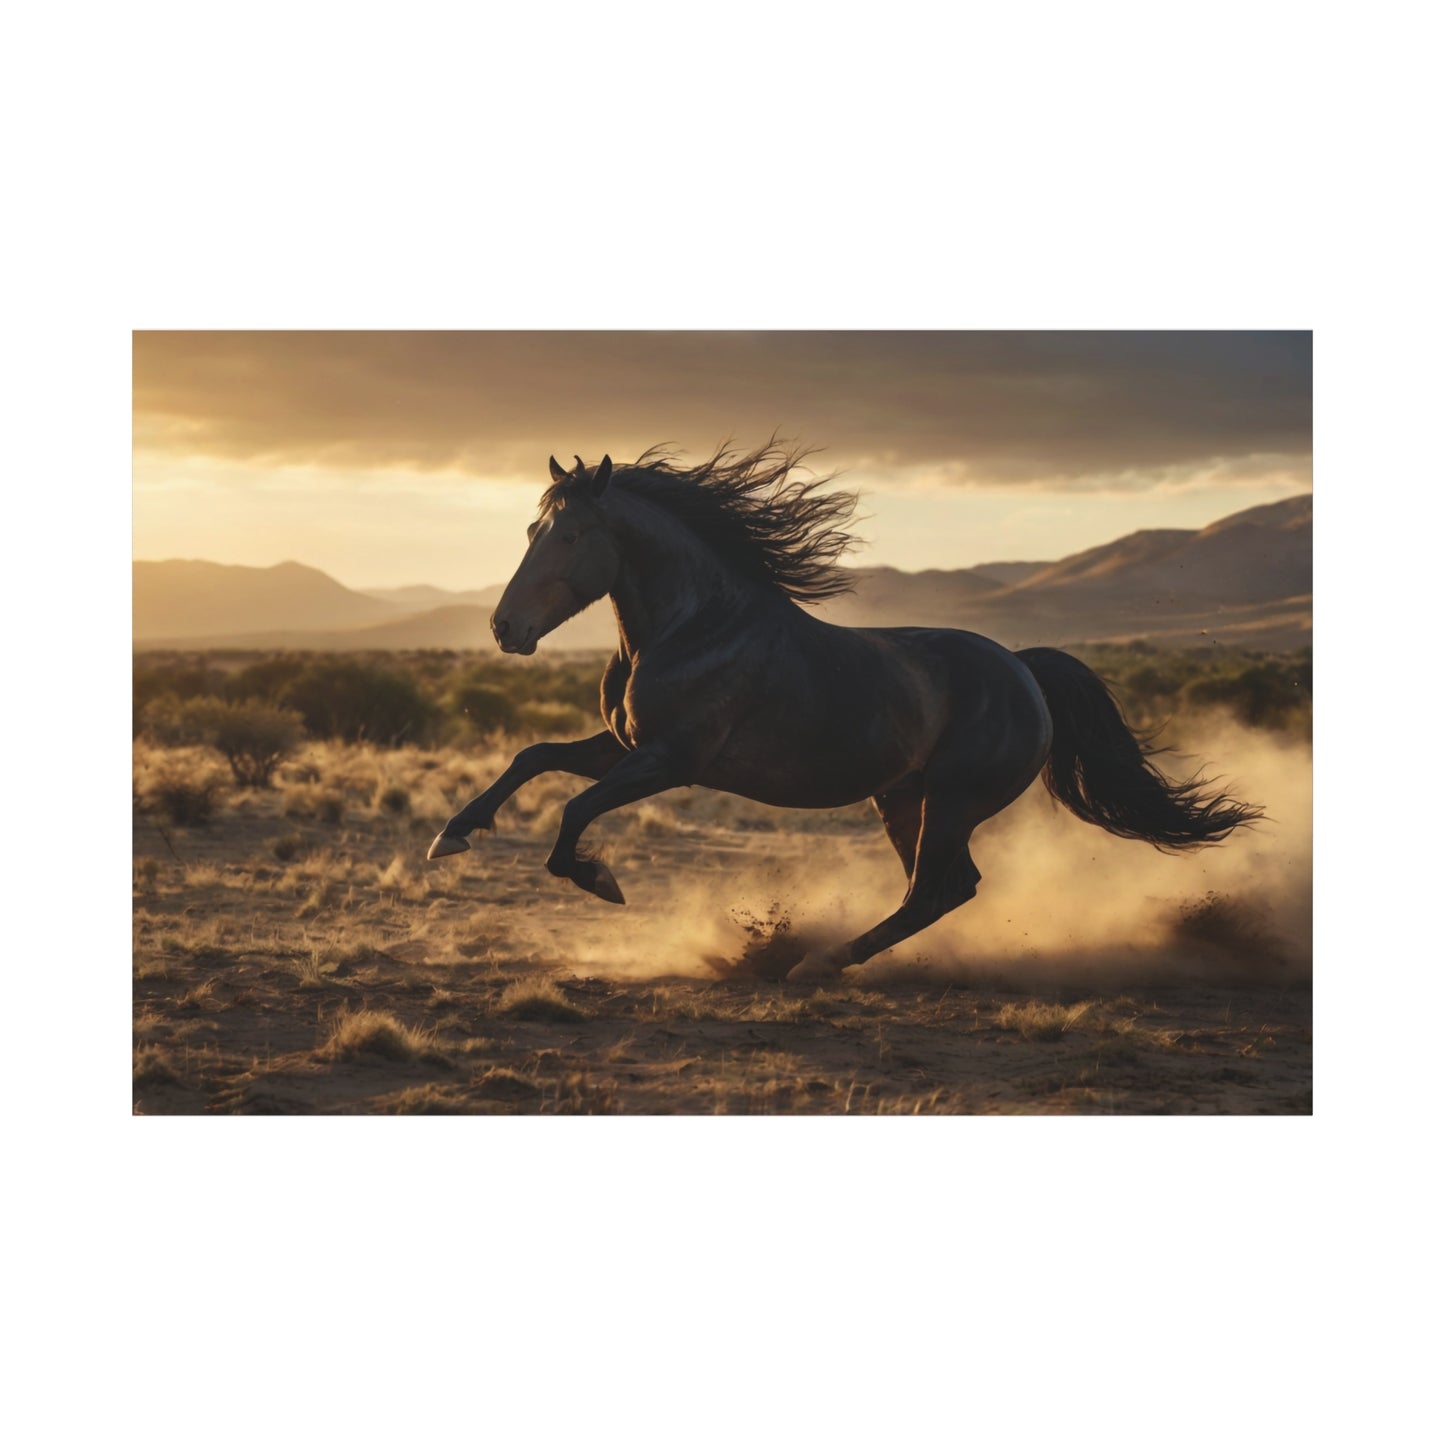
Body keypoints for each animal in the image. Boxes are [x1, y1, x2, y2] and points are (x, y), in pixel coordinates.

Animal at [427, 443, 1260, 980]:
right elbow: (533, 757)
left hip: (952, 799)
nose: (505, 628)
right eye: (531, 530)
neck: (692, 625)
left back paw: (816, 962)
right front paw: (451, 835)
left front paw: (600, 880)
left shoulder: (671, 761)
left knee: (935, 888)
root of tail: (1024, 668)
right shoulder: (625, 745)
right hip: (903, 797)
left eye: (570, 534)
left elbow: (573, 810)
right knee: (942, 887)